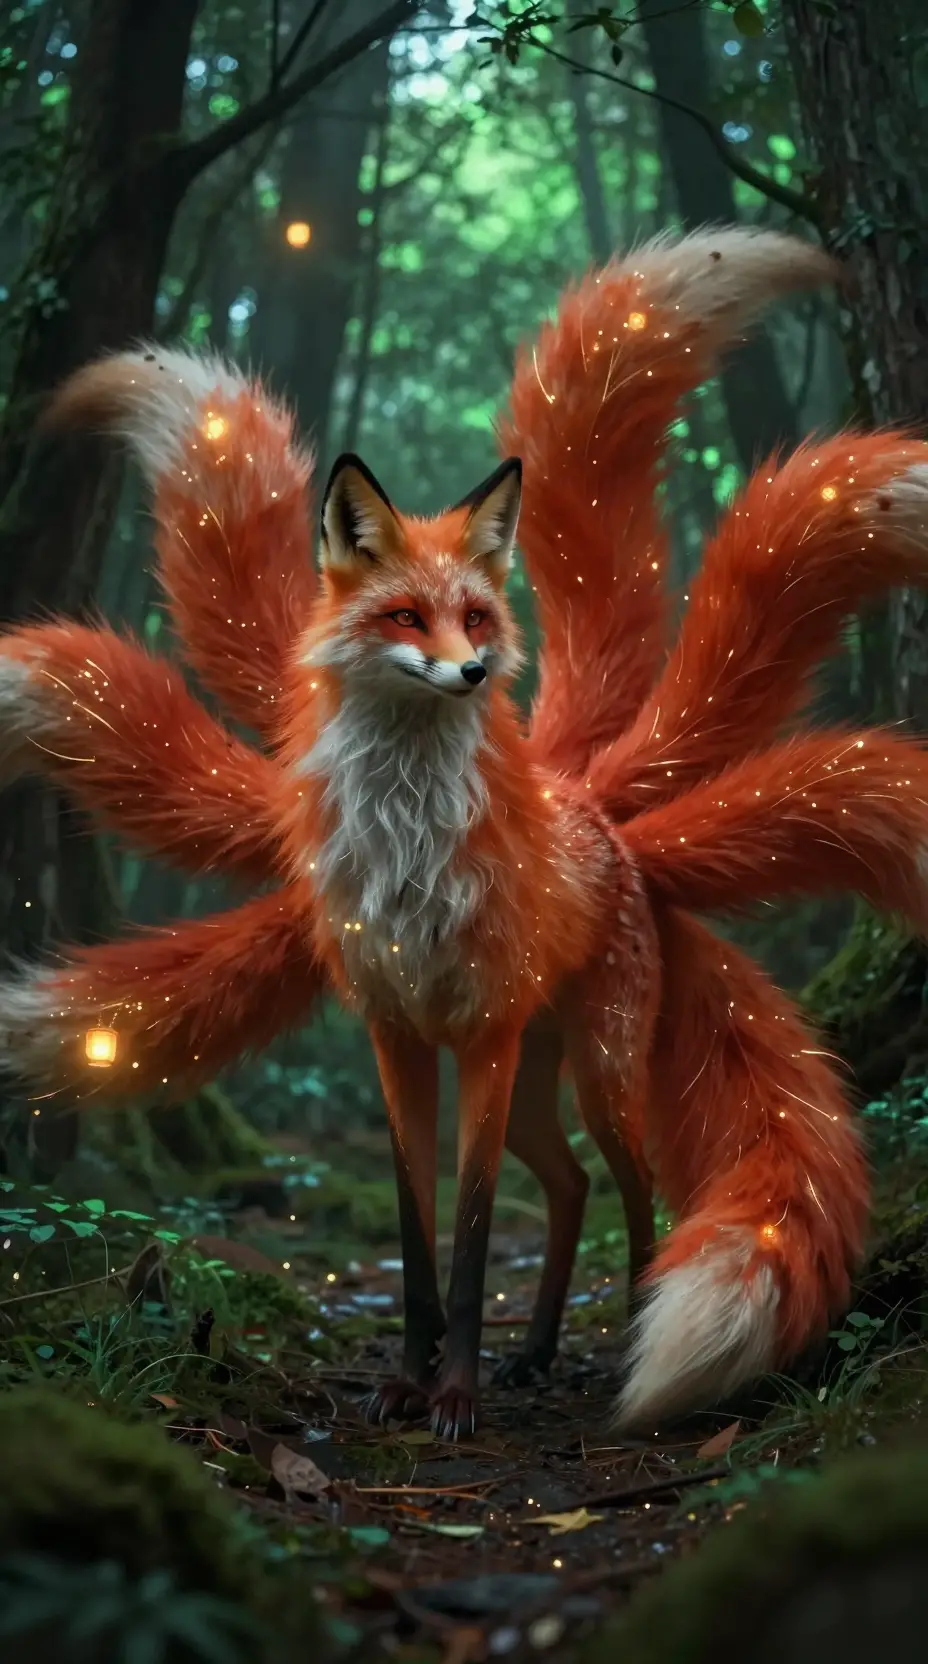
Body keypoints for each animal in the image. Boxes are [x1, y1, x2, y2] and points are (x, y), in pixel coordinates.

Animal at [1, 228, 928, 1437]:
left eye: (477, 615)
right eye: (406, 616)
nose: (477, 671)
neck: (408, 853)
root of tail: (601, 814)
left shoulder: (480, 1033)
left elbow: (479, 1220)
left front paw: (456, 1392)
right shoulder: (397, 1033)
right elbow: (416, 1222)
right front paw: (411, 1372)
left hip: (596, 1067)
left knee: (632, 1187)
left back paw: (608, 1338)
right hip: (542, 1079)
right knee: (569, 1183)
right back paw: (534, 1349)